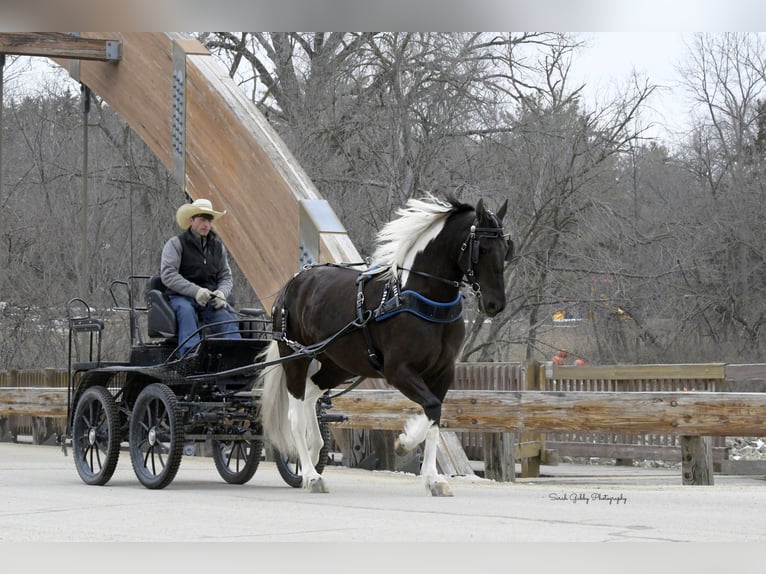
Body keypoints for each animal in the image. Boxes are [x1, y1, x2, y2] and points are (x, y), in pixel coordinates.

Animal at [259, 194, 512, 496]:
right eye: (482, 248)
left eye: (505, 249)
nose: (495, 304)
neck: (421, 299)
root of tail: (294, 282)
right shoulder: (397, 370)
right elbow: (431, 407)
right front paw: (405, 442)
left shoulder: (443, 371)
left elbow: (435, 416)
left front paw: (433, 478)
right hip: (295, 356)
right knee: (295, 413)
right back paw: (310, 475)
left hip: (339, 364)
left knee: (311, 393)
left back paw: (315, 446)